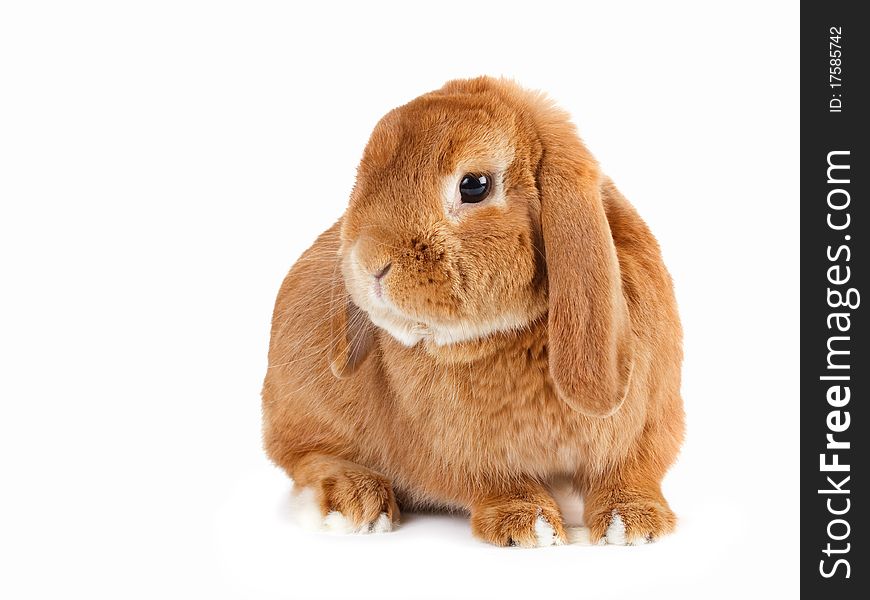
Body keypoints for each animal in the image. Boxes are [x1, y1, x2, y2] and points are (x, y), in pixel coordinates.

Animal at [262, 77, 684, 548]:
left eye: (475, 185)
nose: (369, 261)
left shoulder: (644, 424)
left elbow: (629, 471)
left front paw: (632, 525)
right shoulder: (467, 453)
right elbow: (500, 482)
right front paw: (530, 526)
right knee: (306, 456)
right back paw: (357, 503)